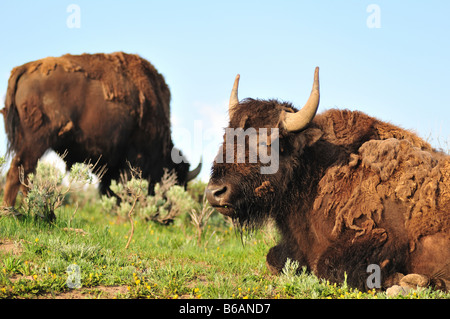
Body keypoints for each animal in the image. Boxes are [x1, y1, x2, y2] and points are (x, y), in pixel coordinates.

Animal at [0, 52, 200, 208]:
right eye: (177, 181)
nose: (168, 219)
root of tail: (24, 68)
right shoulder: (132, 160)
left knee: (25, 173)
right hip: (37, 141)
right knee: (19, 170)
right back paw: (16, 210)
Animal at [207, 68, 450, 292]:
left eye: (266, 142)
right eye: (226, 137)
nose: (215, 192)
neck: (314, 170)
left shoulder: (380, 236)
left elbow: (329, 266)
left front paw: (405, 281)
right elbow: (273, 258)